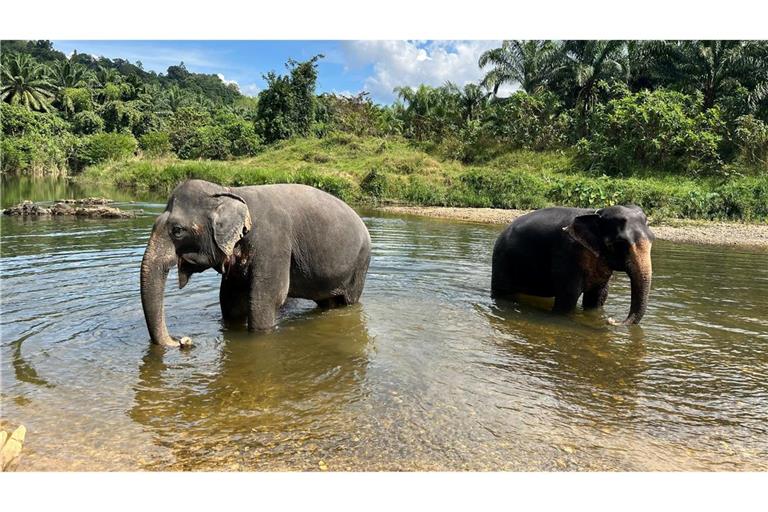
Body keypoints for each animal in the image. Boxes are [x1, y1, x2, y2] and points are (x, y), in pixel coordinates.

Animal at [142, 178, 374, 346]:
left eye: (177, 231)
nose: (182, 341)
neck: (228, 192)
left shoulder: (273, 243)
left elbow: (266, 298)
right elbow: (230, 300)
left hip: (359, 265)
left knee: (347, 302)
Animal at [492, 204, 656, 324]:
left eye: (652, 238)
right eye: (619, 244)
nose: (611, 320)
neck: (596, 213)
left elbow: (597, 297)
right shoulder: (567, 254)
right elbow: (568, 296)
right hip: (502, 261)